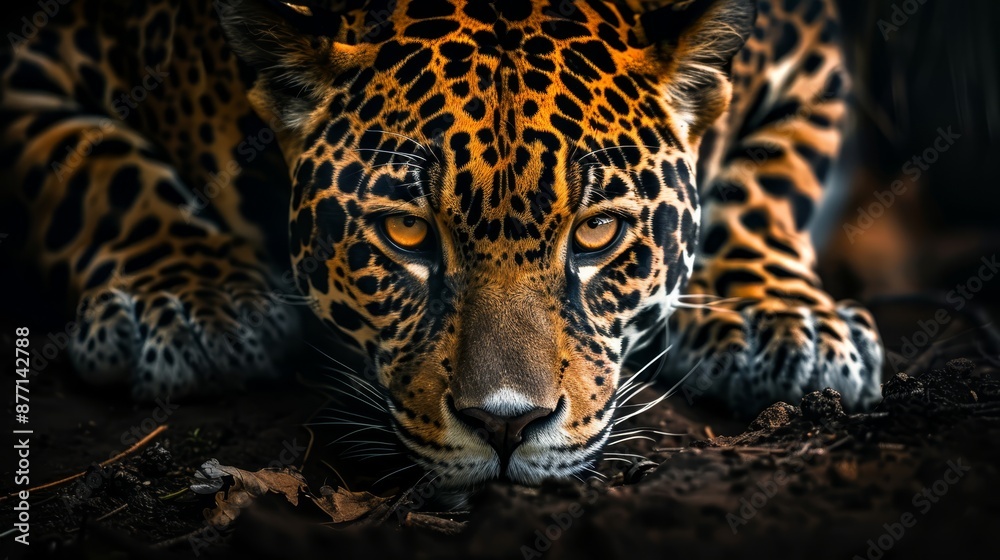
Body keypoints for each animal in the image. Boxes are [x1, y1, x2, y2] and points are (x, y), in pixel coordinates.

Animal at [0, 0, 883, 489]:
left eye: (597, 232)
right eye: (407, 233)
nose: (506, 426)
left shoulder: (808, 53)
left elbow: (761, 179)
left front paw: (781, 323)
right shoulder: (40, 54)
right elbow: (101, 167)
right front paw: (192, 302)